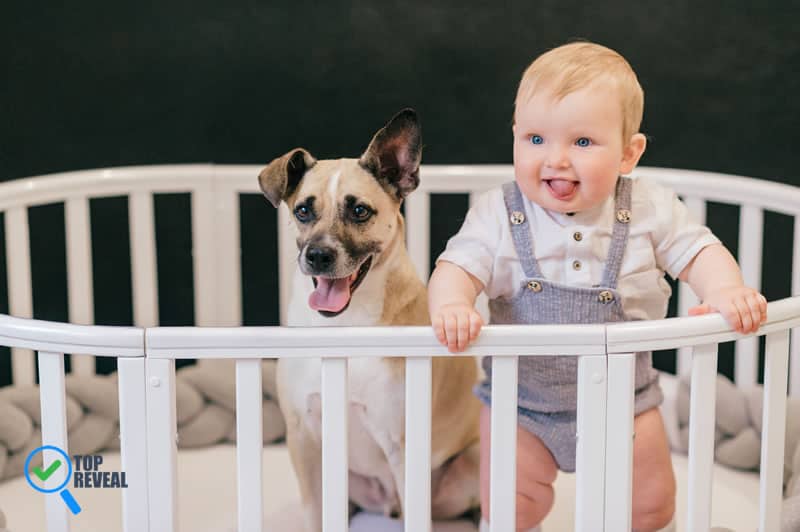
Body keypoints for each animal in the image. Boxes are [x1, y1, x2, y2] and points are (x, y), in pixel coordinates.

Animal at [260, 110, 482, 528]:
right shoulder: (303, 439)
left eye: (359, 211)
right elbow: (315, 514)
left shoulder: (402, 445)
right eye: (303, 210)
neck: (344, 327)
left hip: (473, 462)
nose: (318, 255)